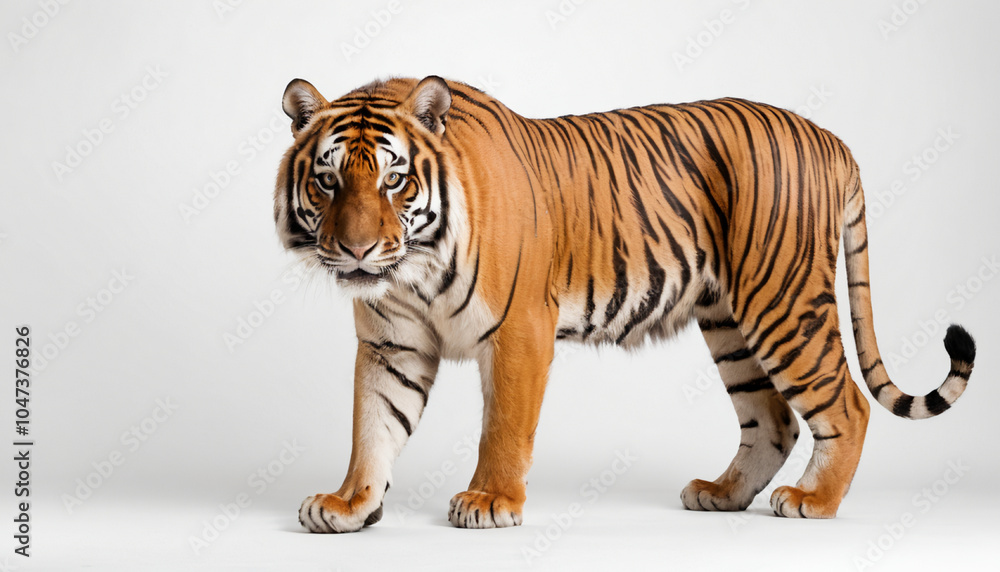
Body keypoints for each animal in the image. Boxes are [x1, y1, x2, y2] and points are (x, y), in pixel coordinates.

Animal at [273, 75, 976, 532]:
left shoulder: (519, 330)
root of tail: (831, 138)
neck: (411, 272)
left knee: (847, 404)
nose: (358, 251)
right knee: (772, 419)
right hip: (730, 323)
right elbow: (373, 426)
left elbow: (502, 427)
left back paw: (814, 501)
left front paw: (490, 502)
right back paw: (722, 495)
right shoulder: (391, 344)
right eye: (328, 180)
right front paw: (350, 505)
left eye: (394, 180)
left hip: (782, 301)